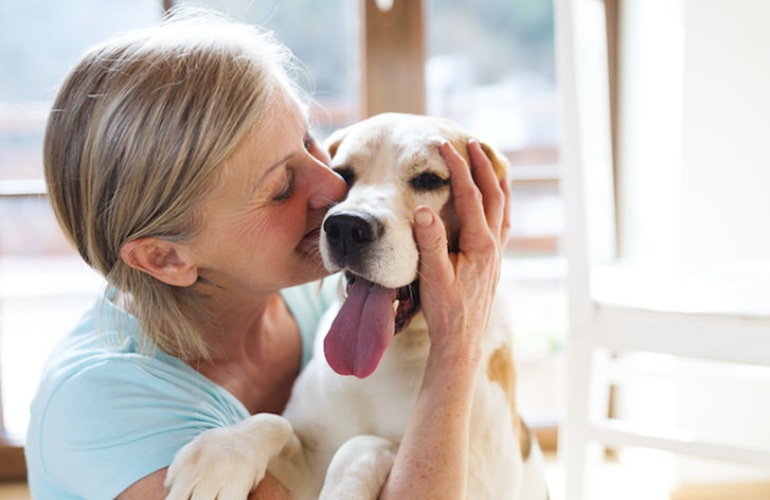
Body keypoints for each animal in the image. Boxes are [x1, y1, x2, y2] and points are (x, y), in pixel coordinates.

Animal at [164, 113, 544, 500]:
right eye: (342, 174)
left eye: (429, 180)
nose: (347, 226)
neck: (387, 360)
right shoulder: (306, 465)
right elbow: (276, 421)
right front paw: (223, 453)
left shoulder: (480, 474)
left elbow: (365, 443)